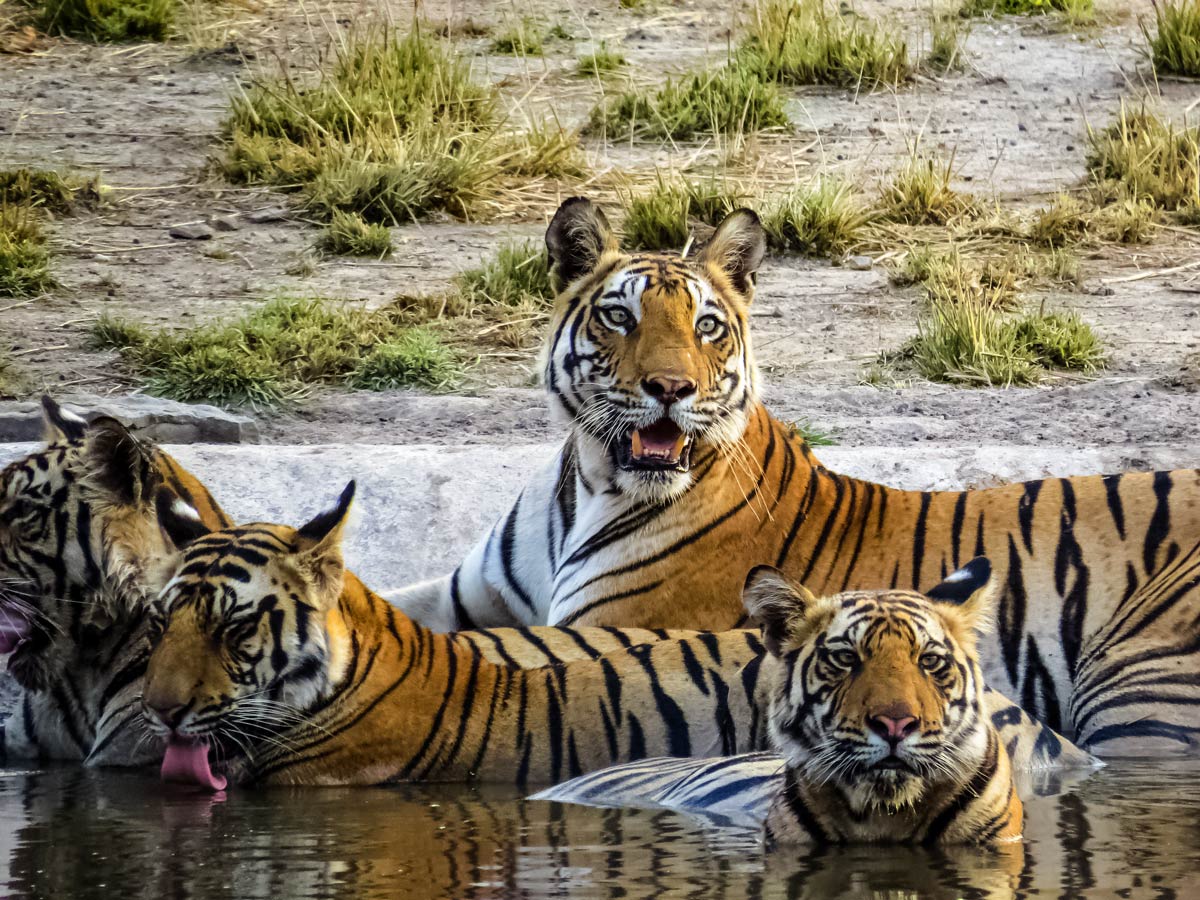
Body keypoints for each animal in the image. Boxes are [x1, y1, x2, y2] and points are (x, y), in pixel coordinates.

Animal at [396, 195, 1200, 763]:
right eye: (619, 317)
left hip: (1139, 679)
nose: (672, 388)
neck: (590, 480)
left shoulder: (602, 625)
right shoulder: (467, 595)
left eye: (708, 326)